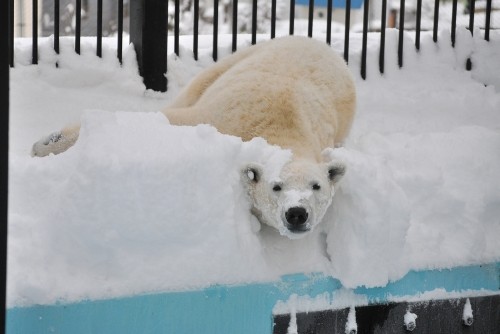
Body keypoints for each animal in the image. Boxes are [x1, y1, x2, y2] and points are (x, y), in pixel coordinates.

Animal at [32, 36, 356, 239]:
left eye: (316, 186)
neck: (282, 130)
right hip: (242, 58)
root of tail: (320, 44)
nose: (297, 214)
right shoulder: (223, 117)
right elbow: (170, 121)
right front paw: (47, 144)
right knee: (192, 91)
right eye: (276, 187)